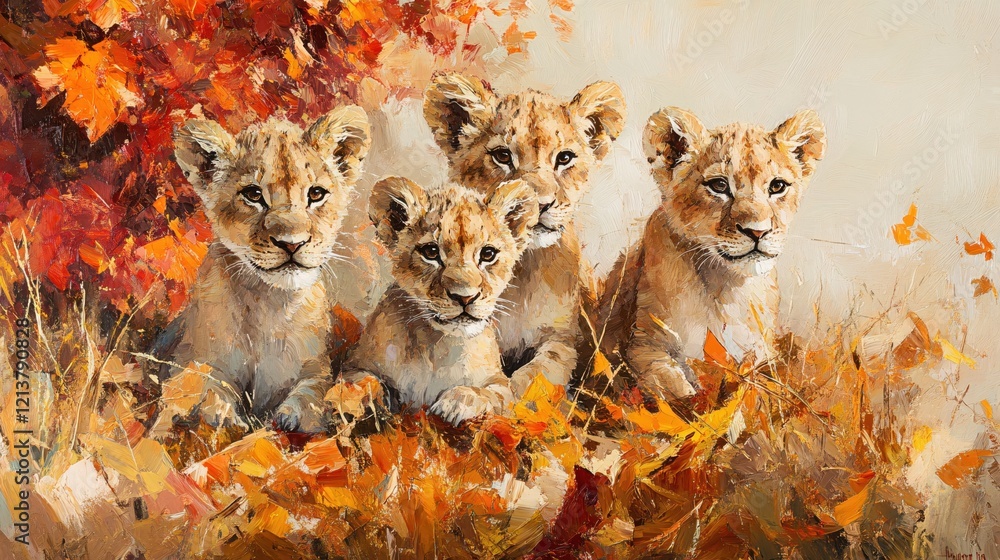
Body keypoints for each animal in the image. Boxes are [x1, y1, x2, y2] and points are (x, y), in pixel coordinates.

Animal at [151, 106, 371, 435]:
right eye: (253, 195)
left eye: (316, 194)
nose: (292, 244)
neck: (269, 303)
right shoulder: (194, 360)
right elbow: (208, 386)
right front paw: (226, 417)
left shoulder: (318, 367)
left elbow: (315, 391)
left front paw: (294, 416)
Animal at [339, 177, 539, 425]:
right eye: (431, 252)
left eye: (488, 254)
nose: (465, 296)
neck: (437, 345)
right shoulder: (354, 364)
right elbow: (359, 382)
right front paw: (371, 402)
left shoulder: (500, 385)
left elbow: (489, 394)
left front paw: (456, 403)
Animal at [423, 72, 626, 396]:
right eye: (502, 156)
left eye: (565, 158)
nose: (540, 204)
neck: (521, 272)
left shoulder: (563, 340)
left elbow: (533, 378)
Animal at [594, 107, 826, 398]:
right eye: (719, 185)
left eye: (777, 186)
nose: (758, 231)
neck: (726, 285)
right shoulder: (645, 346)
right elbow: (679, 391)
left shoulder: (763, 354)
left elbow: (759, 391)